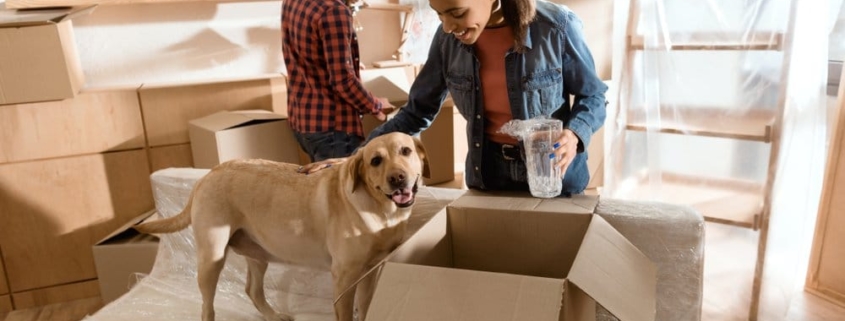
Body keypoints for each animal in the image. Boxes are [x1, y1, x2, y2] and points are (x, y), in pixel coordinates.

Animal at [135, 131, 432, 318]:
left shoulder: (372, 271)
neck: (381, 210)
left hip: (258, 254)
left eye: (405, 151)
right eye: (375, 161)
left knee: (252, 290)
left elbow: (368, 308)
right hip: (212, 259)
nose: (397, 178)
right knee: (207, 307)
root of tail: (205, 176)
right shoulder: (344, 278)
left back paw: (274, 316)